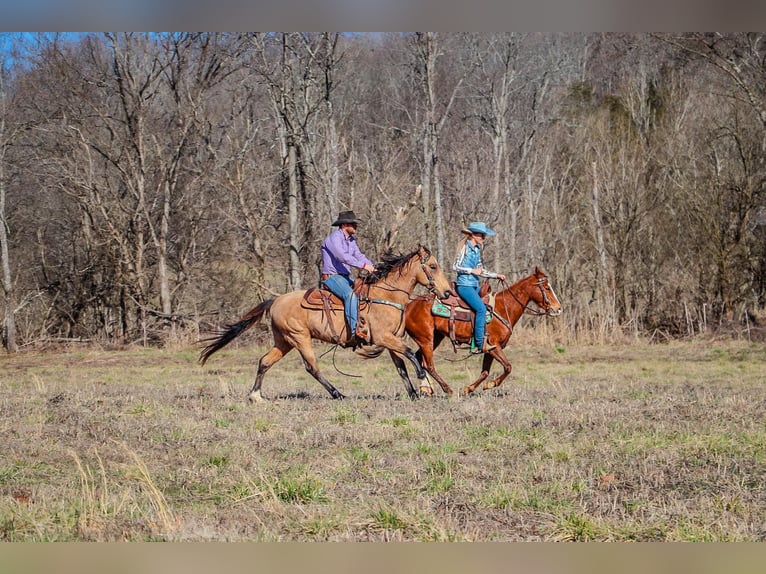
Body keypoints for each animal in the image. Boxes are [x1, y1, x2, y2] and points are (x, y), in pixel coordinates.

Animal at [198, 245, 452, 402]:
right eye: (432, 266)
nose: (447, 292)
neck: (386, 296)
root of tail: (276, 299)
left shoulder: (392, 341)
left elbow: (401, 367)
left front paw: (414, 393)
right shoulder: (384, 338)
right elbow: (412, 356)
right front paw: (425, 386)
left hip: (283, 341)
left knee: (264, 362)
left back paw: (255, 396)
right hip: (300, 338)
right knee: (312, 367)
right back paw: (337, 394)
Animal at [404, 268, 560, 398]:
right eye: (547, 287)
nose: (558, 309)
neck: (504, 308)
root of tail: (409, 305)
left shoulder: (490, 350)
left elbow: (485, 372)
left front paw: (468, 389)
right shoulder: (494, 347)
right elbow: (508, 367)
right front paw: (489, 384)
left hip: (435, 337)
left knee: (419, 358)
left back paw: (426, 388)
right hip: (426, 340)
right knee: (428, 364)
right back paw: (447, 390)